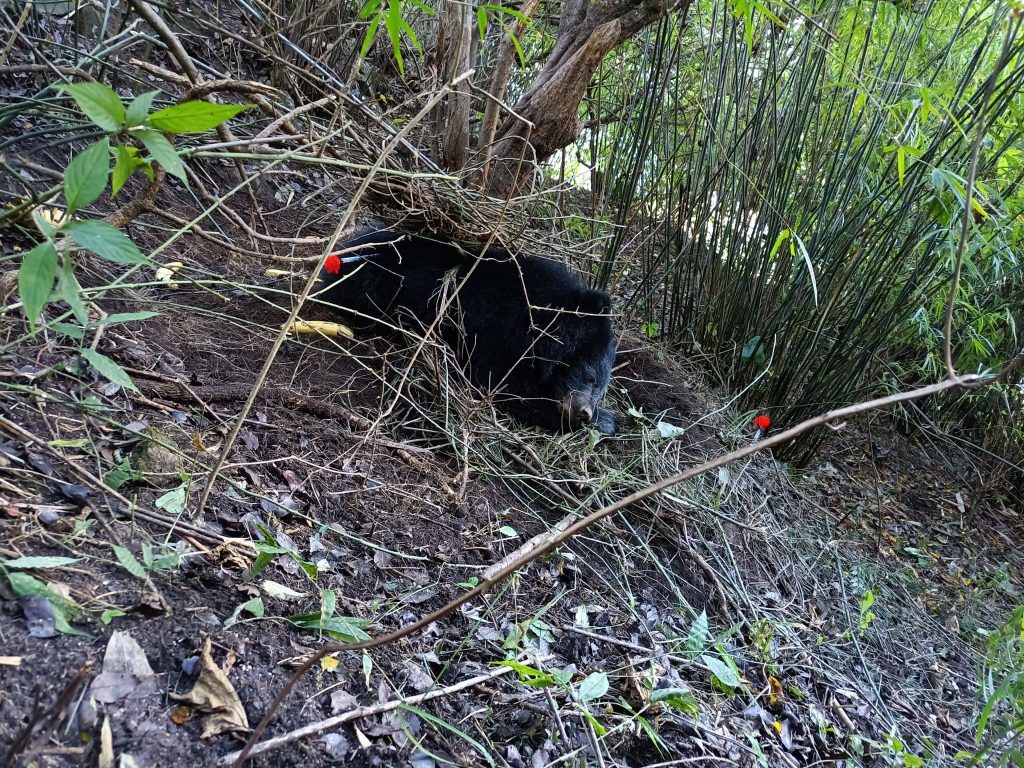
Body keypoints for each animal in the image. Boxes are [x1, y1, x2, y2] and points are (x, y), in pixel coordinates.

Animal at [314, 229, 617, 434]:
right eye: (589, 377)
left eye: (600, 389)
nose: (584, 413)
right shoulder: (498, 329)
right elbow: (505, 386)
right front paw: (604, 421)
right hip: (375, 282)